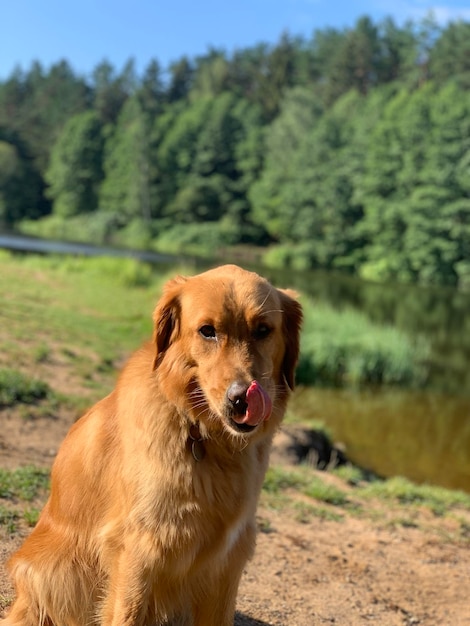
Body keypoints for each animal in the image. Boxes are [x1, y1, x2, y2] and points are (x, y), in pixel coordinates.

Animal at [2, 264, 302, 624]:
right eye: (207, 331)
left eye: (263, 330)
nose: (242, 399)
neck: (201, 432)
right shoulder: (140, 547)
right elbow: (126, 613)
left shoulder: (229, 556)